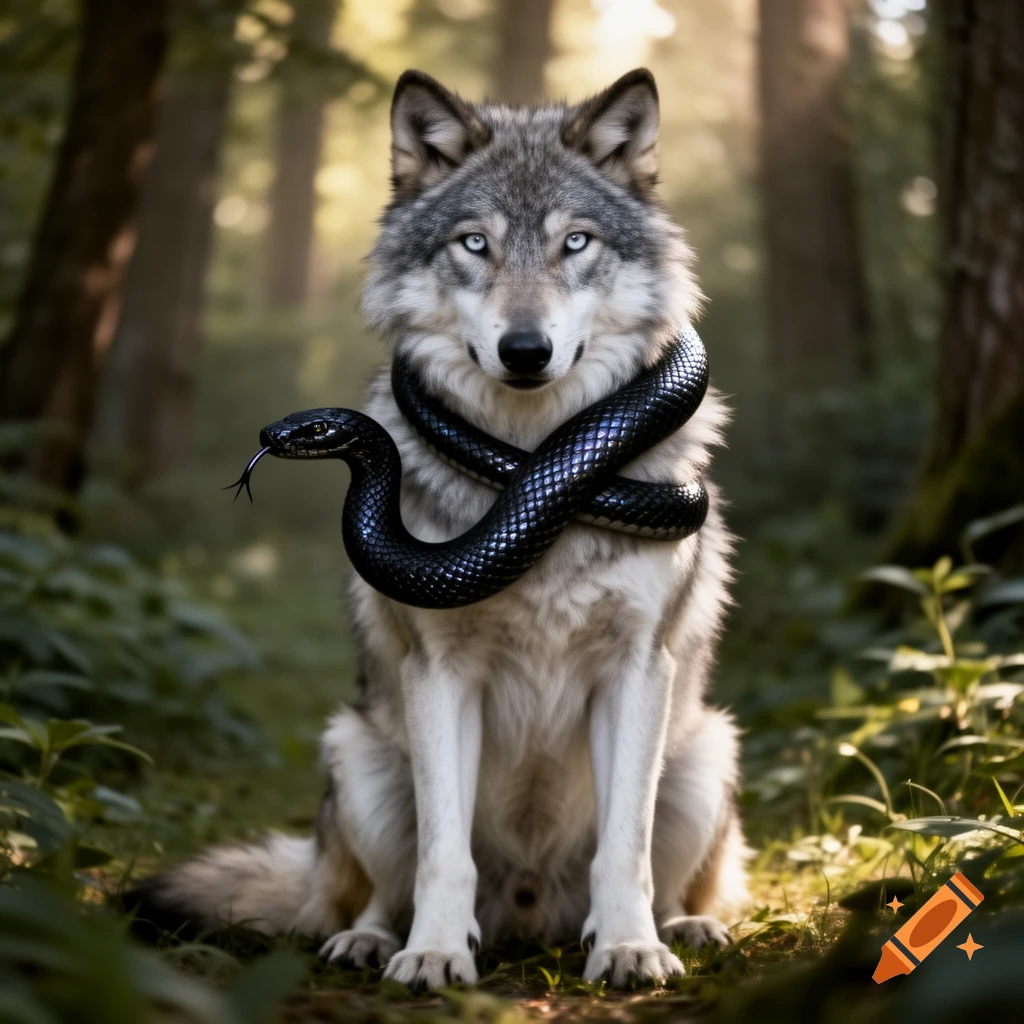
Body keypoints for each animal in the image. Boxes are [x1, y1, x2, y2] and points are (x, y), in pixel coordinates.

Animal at [133, 68, 748, 990]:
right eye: (474, 244)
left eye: (575, 244)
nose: (525, 350)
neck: (532, 460)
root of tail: (529, 917)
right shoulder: (440, 672)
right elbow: (443, 851)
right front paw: (430, 954)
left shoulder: (639, 666)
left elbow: (623, 849)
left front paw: (630, 948)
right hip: (360, 758)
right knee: (373, 892)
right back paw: (370, 940)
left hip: (704, 755)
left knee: (676, 878)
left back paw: (683, 927)